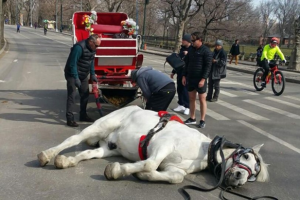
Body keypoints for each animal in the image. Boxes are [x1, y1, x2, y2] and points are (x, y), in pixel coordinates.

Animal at [37, 105, 270, 187]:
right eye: (246, 156)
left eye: (253, 174)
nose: (239, 178)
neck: (200, 150)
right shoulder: (163, 145)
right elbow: (149, 163)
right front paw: (119, 170)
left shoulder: (174, 168)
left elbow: (176, 178)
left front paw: (142, 175)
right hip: (101, 126)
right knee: (73, 140)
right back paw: (47, 155)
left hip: (108, 147)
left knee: (86, 153)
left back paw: (66, 160)